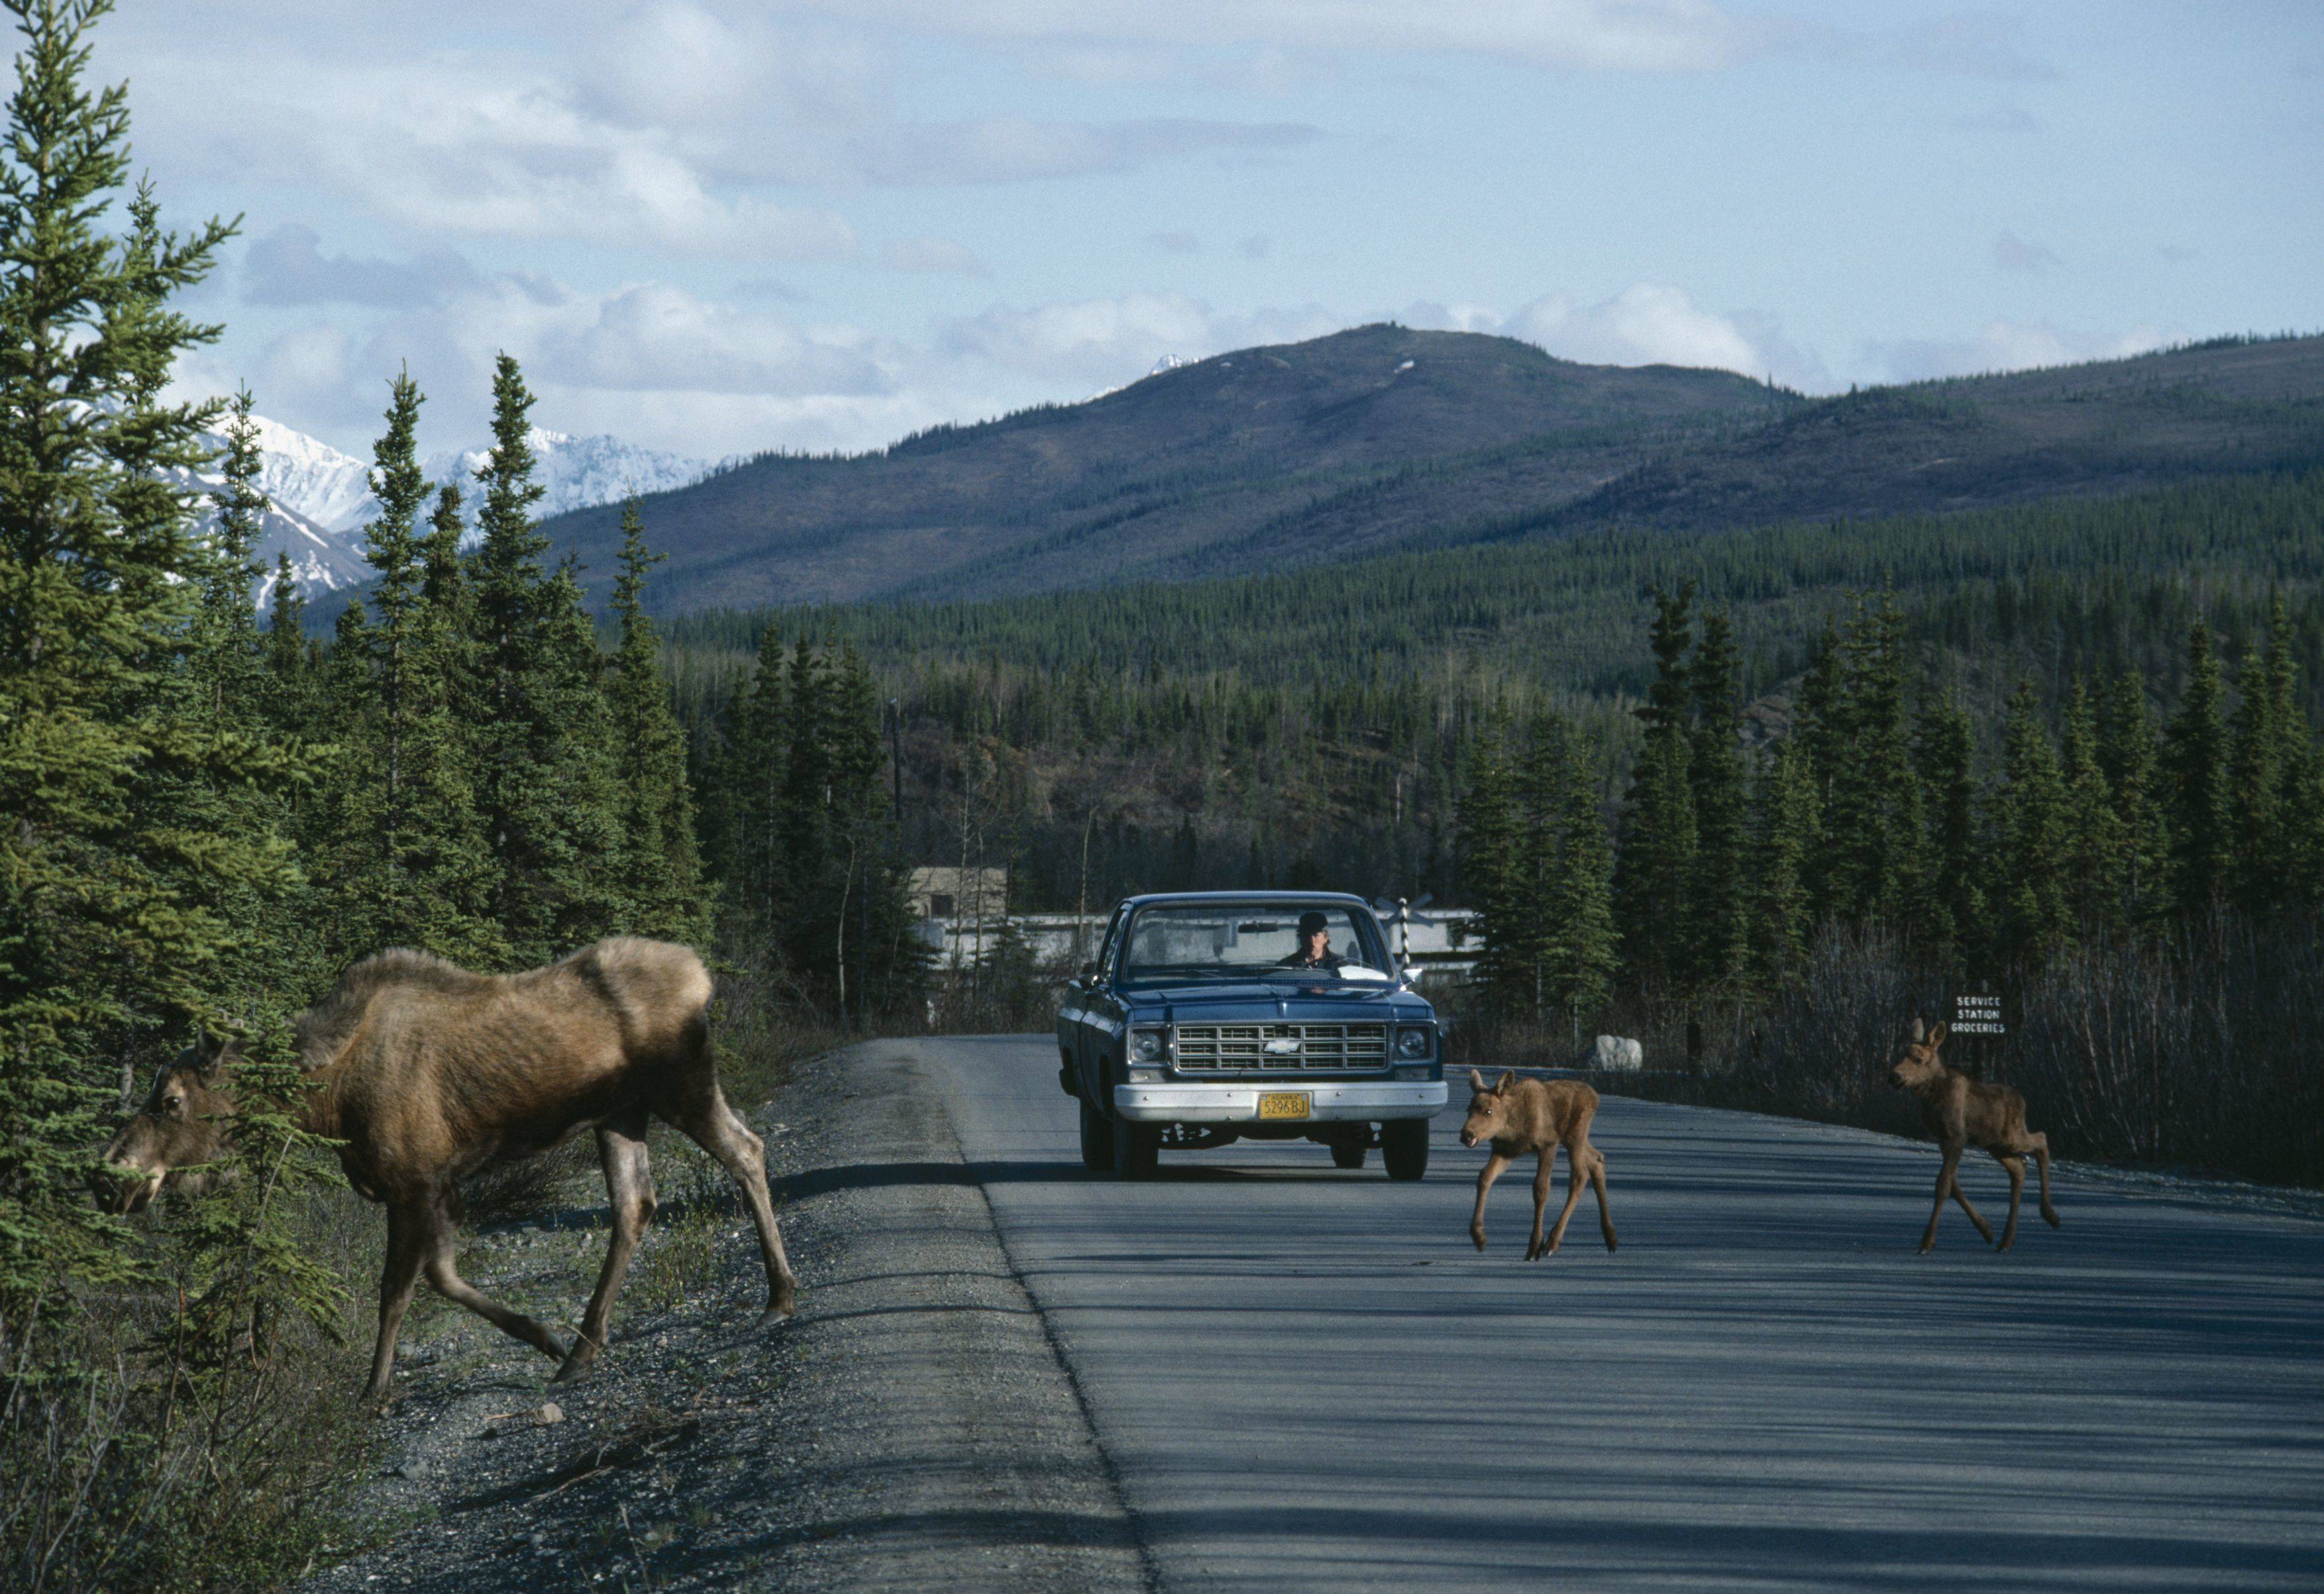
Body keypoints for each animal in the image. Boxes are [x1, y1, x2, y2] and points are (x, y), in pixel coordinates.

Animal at [102, 938, 799, 1412]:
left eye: (170, 1100)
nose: (110, 1173)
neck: (327, 1101)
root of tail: (701, 977)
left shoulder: (414, 1182)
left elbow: (397, 1290)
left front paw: (374, 1390)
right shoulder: (436, 1186)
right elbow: (440, 1276)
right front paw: (542, 1337)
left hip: (681, 1086)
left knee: (747, 1152)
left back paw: (779, 1297)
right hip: (620, 1114)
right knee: (636, 1205)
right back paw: (581, 1350)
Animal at [1459, 1073, 1608, 1263]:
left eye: (1489, 1111)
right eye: (1468, 1109)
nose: (1467, 1134)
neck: (1512, 1125)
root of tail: (1595, 1096)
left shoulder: (1548, 1144)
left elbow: (1541, 1189)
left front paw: (1535, 1246)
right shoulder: (1505, 1150)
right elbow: (1485, 1176)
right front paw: (1479, 1236)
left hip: (1576, 1135)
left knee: (1579, 1176)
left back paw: (1553, 1242)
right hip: (1574, 1140)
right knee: (1596, 1159)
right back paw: (1611, 1237)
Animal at [1887, 1022, 2073, 1263]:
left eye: (1918, 1059)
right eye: (1902, 1055)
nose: (1894, 1076)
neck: (1932, 1096)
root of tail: (2022, 1100)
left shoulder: (1957, 1137)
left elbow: (1943, 1185)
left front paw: (1926, 1242)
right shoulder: (1942, 1139)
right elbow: (1953, 1185)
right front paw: (1986, 1230)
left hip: (2011, 1138)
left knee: (2041, 1140)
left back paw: (2051, 1216)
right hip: (1995, 1145)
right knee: (2019, 1167)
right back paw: (2006, 1241)